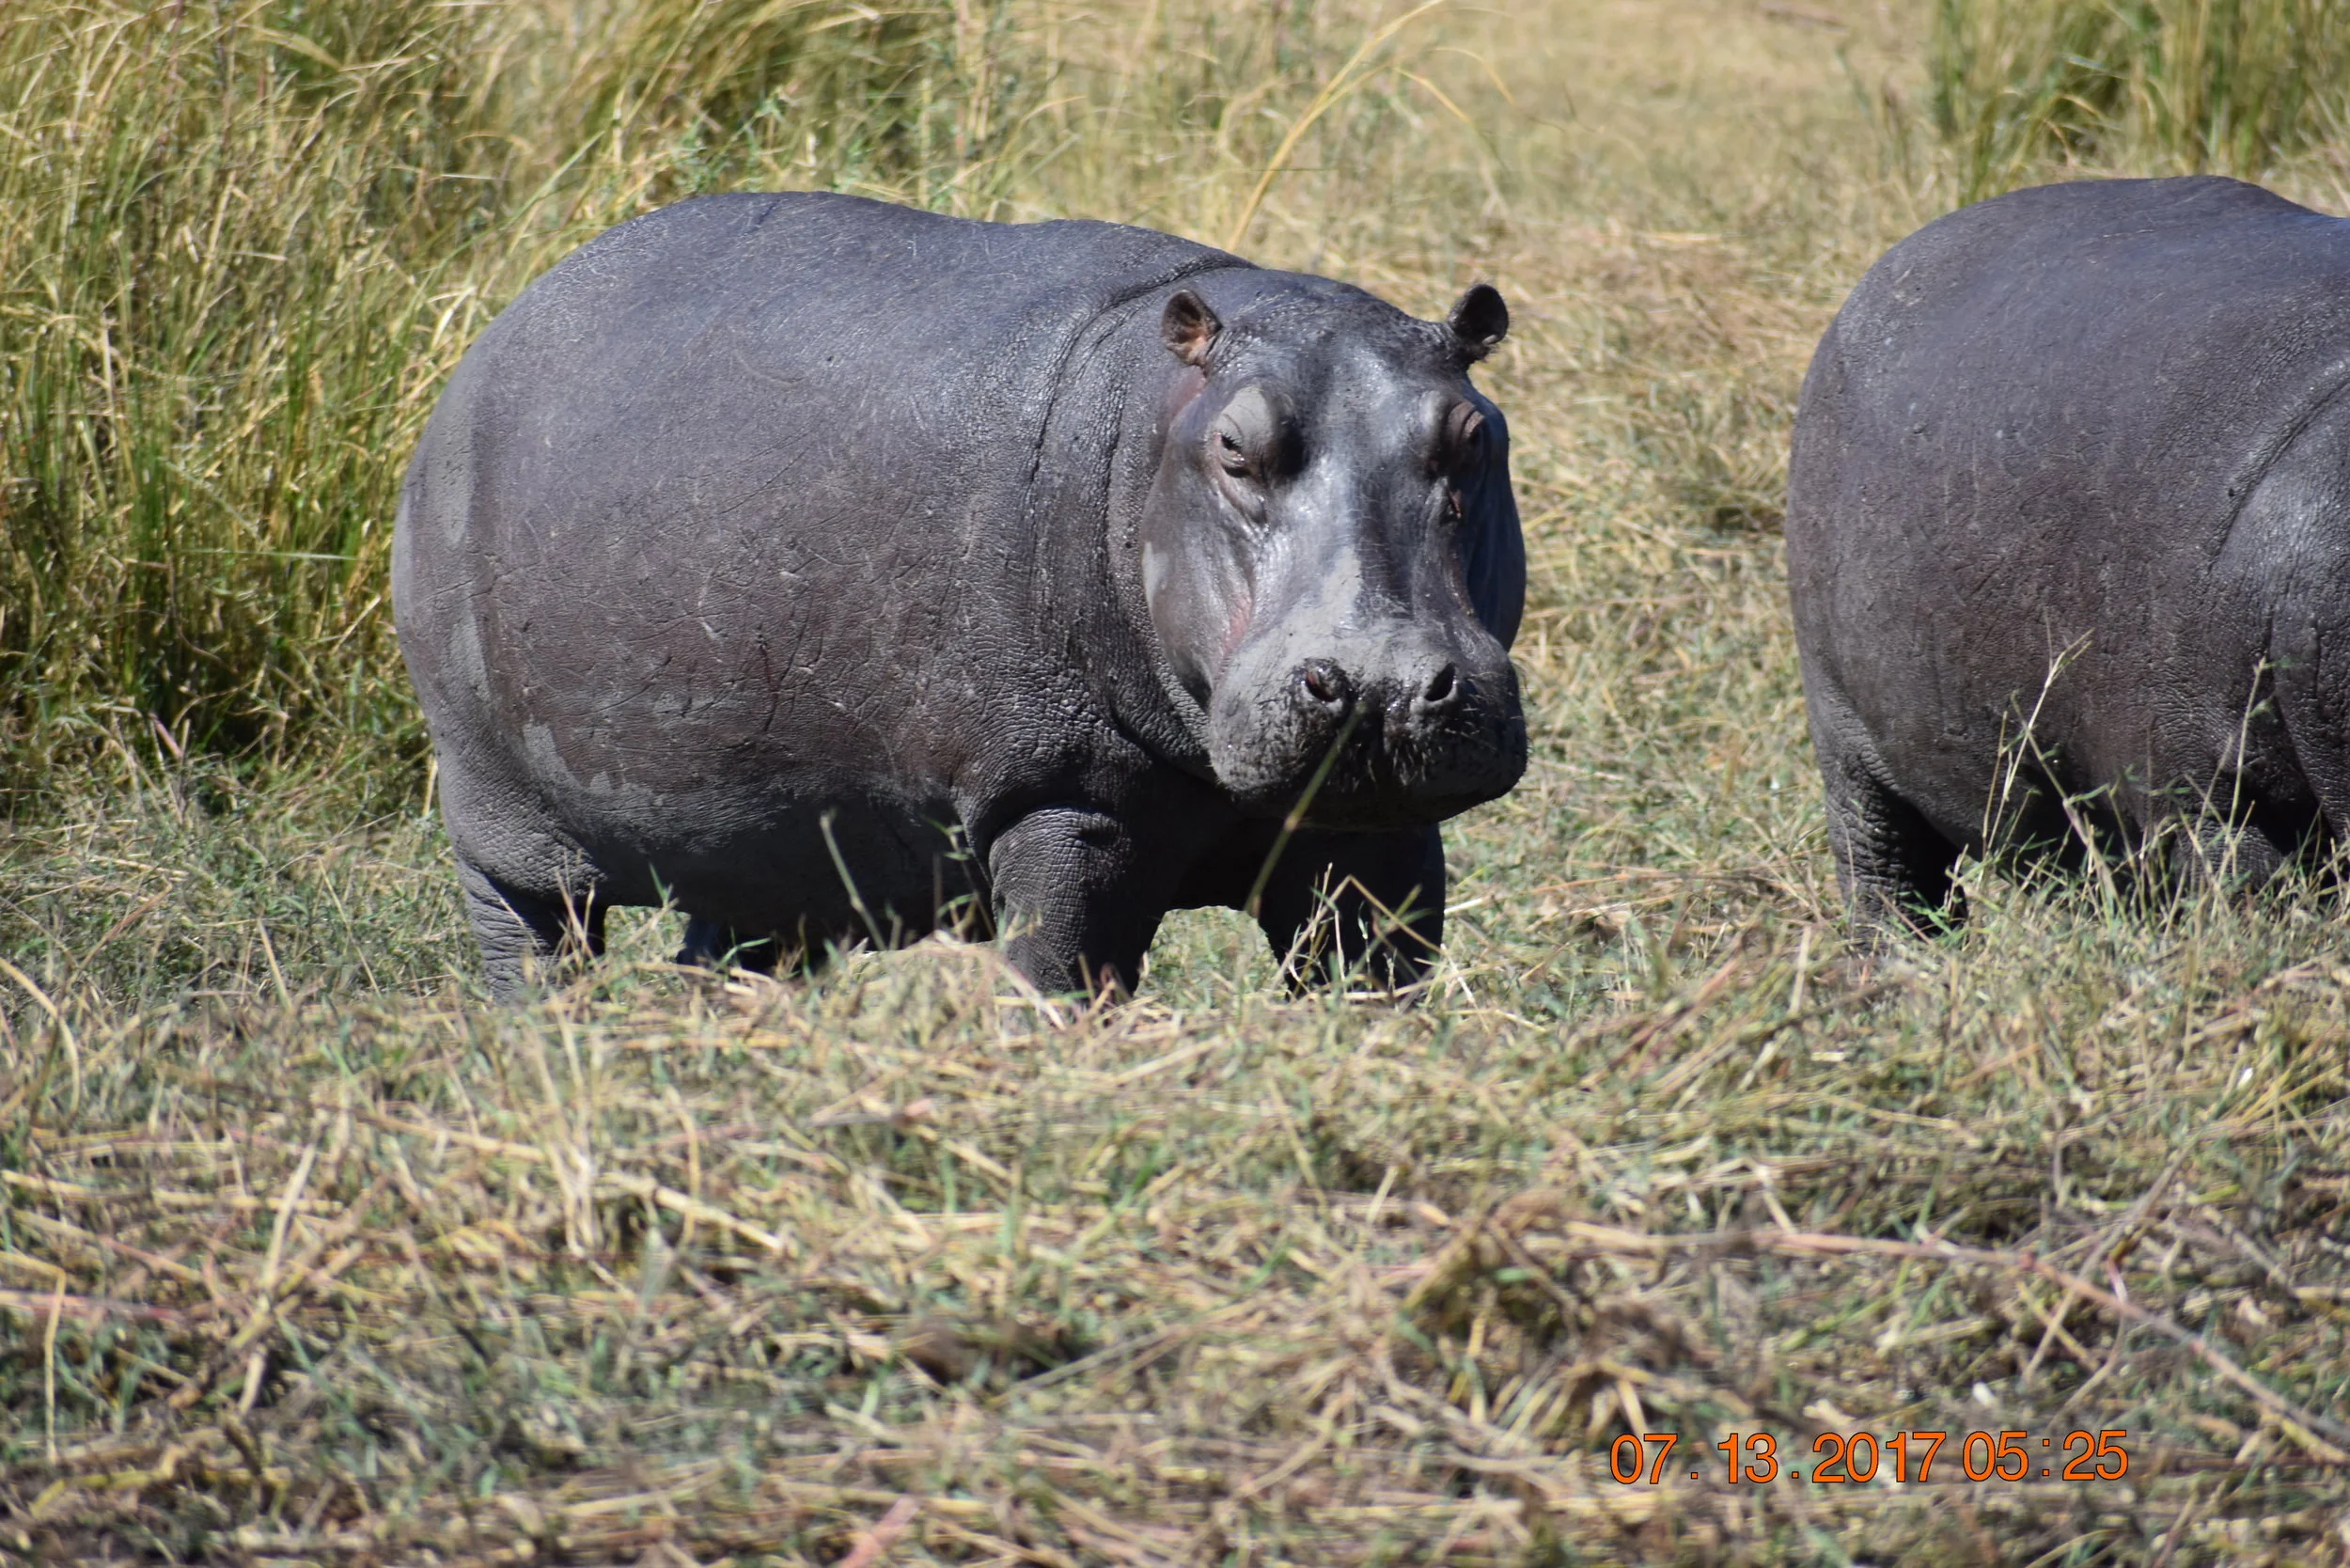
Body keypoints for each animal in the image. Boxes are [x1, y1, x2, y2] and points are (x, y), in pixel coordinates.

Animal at [394, 192, 1527, 998]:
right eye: (1235, 448)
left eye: (1475, 434)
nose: (1382, 687)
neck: (1147, 427)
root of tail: (498, 331)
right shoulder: (1064, 804)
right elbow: (1062, 971)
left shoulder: (1374, 831)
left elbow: (1373, 965)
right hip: (496, 812)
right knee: (529, 939)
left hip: (760, 836)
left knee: (724, 948)